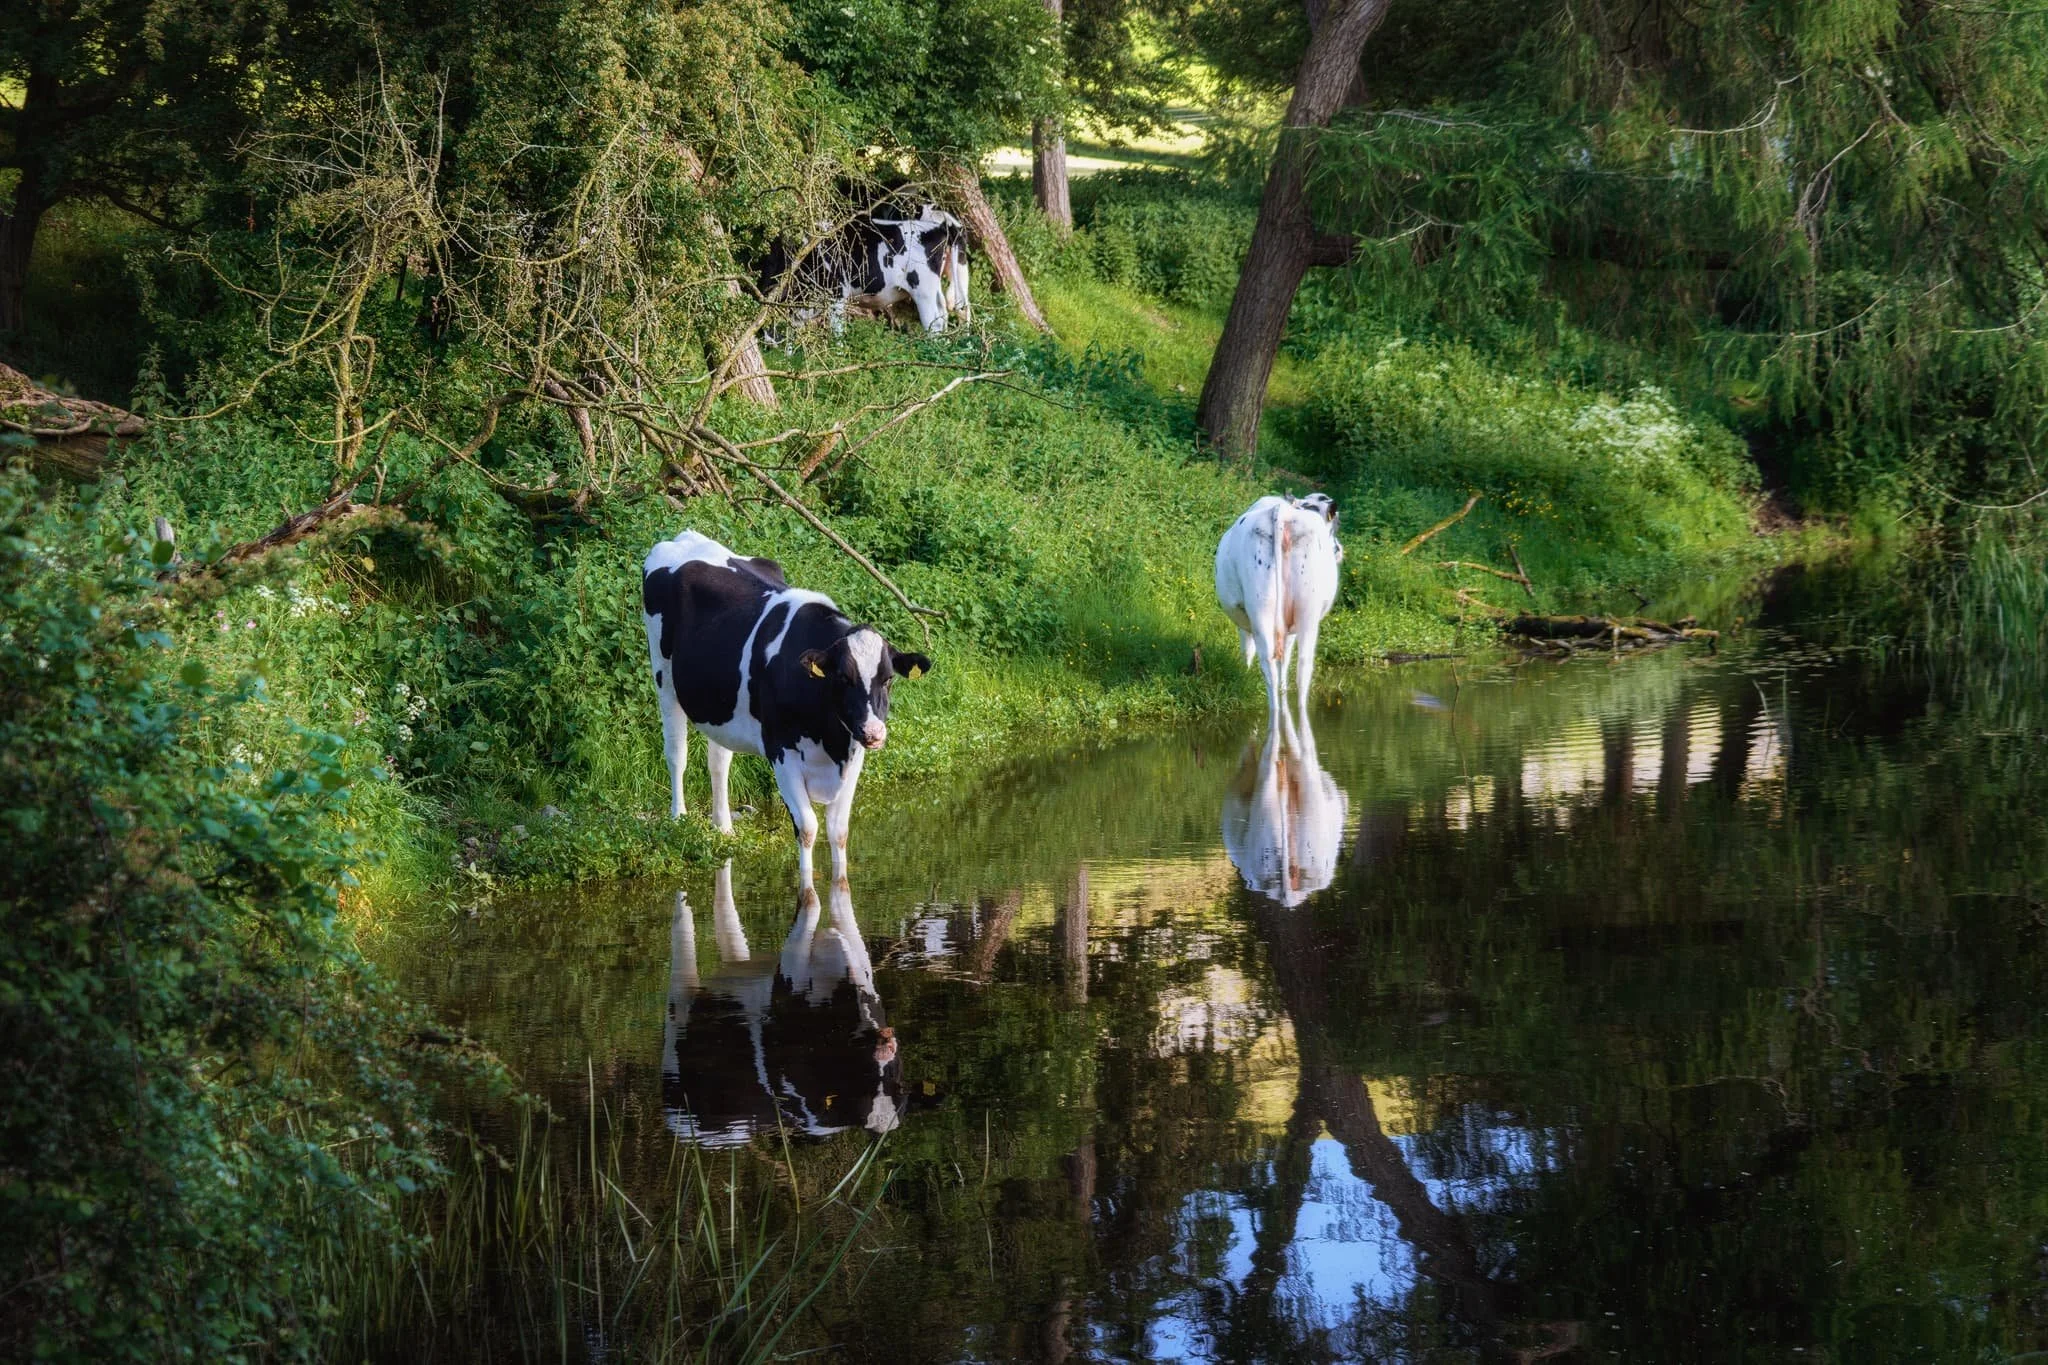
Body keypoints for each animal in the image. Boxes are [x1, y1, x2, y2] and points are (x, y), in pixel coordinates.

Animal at [641, 530, 931, 887]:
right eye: (843, 677)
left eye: (888, 679)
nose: (874, 732)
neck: (830, 740)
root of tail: (686, 536)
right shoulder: (781, 751)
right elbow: (807, 828)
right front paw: (807, 885)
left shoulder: (854, 755)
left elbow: (839, 832)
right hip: (664, 677)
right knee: (676, 754)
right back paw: (679, 820)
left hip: (720, 704)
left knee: (719, 761)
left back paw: (723, 828)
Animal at [662, 861, 902, 1145]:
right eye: (865, 1071)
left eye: (894, 1076)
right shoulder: (792, 966)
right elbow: (814, 900)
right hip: (678, 1022)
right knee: (682, 937)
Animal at [1214, 493, 1343, 737]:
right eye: (1335, 524)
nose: (1339, 550)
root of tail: (1281, 512)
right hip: (1305, 612)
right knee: (1300, 665)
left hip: (1264, 608)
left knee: (1274, 662)